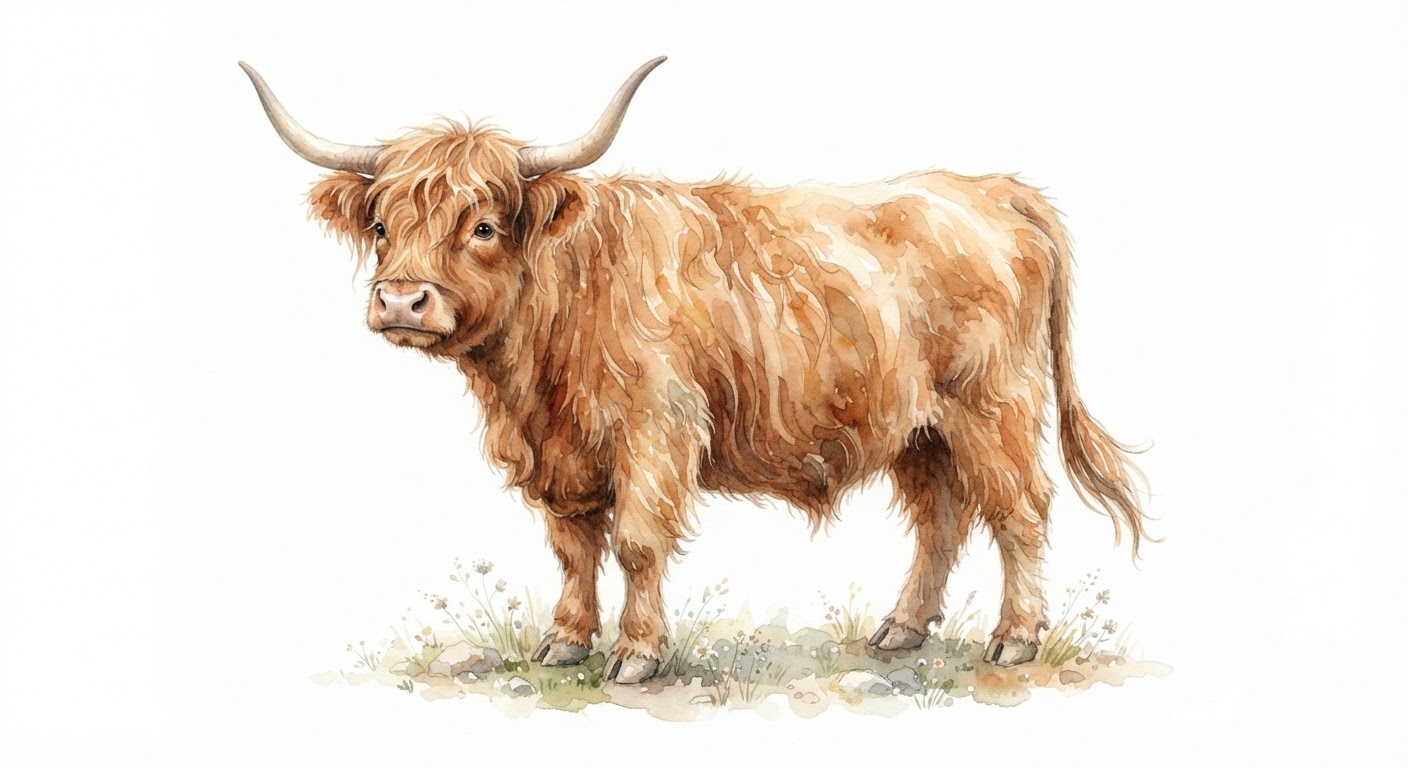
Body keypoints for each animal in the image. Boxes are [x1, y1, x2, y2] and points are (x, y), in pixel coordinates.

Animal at [241, 57, 1150, 684]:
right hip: (919, 428)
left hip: (995, 403)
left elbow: (638, 542)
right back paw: (901, 629)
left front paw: (637, 655)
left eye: (486, 226)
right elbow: (574, 546)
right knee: (941, 520)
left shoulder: (654, 428)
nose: (401, 299)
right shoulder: (560, 453)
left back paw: (1015, 638)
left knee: (1019, 510)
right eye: (382, 225)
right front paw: (564, 641)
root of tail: (991, 189)